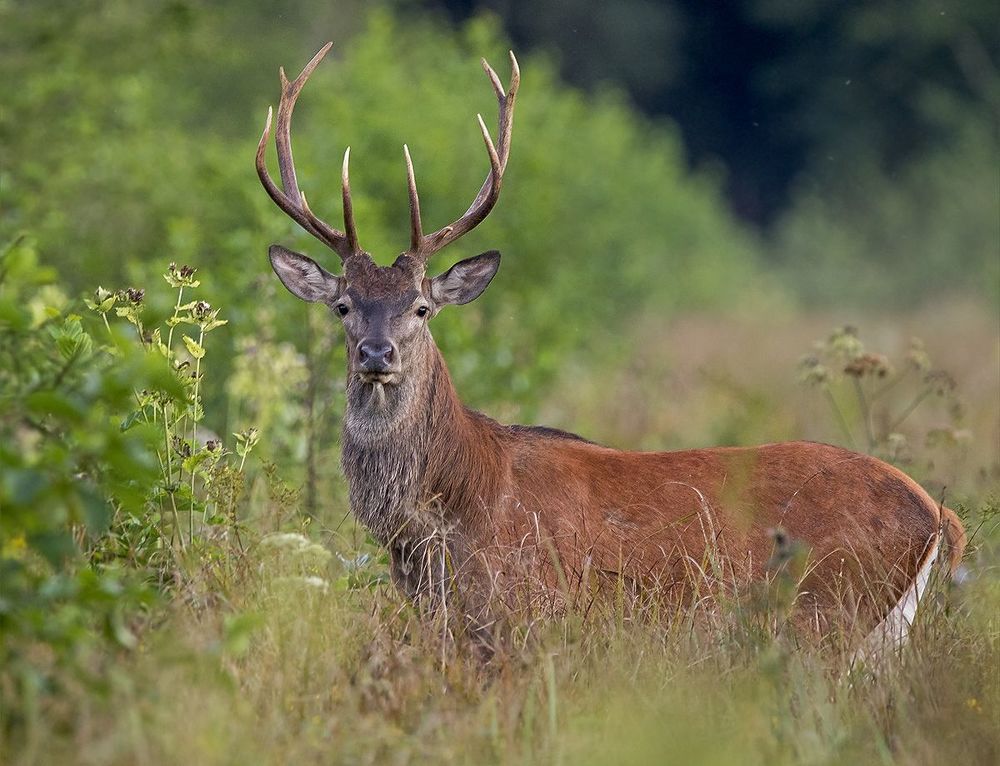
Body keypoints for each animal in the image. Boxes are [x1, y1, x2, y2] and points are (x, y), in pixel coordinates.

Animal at [255, 43, 966, 657]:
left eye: (422, 307)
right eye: (343, 306)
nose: (377, 354)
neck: (457, 509)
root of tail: (941, 518)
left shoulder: (534, 611)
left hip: (831, 608)